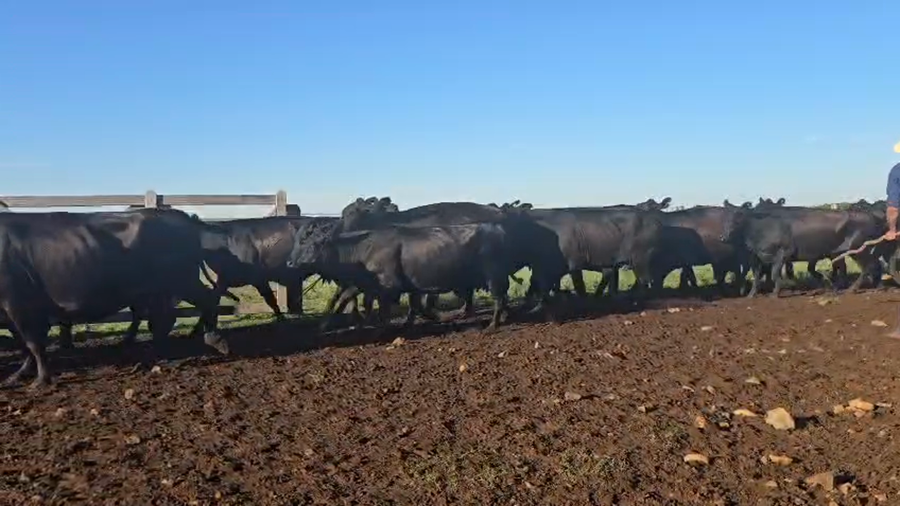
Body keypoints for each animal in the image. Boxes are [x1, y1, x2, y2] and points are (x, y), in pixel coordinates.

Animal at [0, 208, 232, 388]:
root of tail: (182, 216)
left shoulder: (18, 303)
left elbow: (33, 343)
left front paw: (41, 380)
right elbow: (24, 343)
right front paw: (18, 375)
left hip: (181, 280)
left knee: (206, 301)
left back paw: (214, 339)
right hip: (162, 289)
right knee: (163, 320)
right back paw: (151, 357)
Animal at [286, 220, 516, 331]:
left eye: (310, 243)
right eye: (298, 242)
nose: (289, 262)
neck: (364, 248)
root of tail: (496, 227)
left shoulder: (388, 286)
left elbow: (384, 310)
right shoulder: (372, 285)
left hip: (493, 275)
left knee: (499, 298)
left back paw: (492, 326)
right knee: (503, 297)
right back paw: (505, 318)